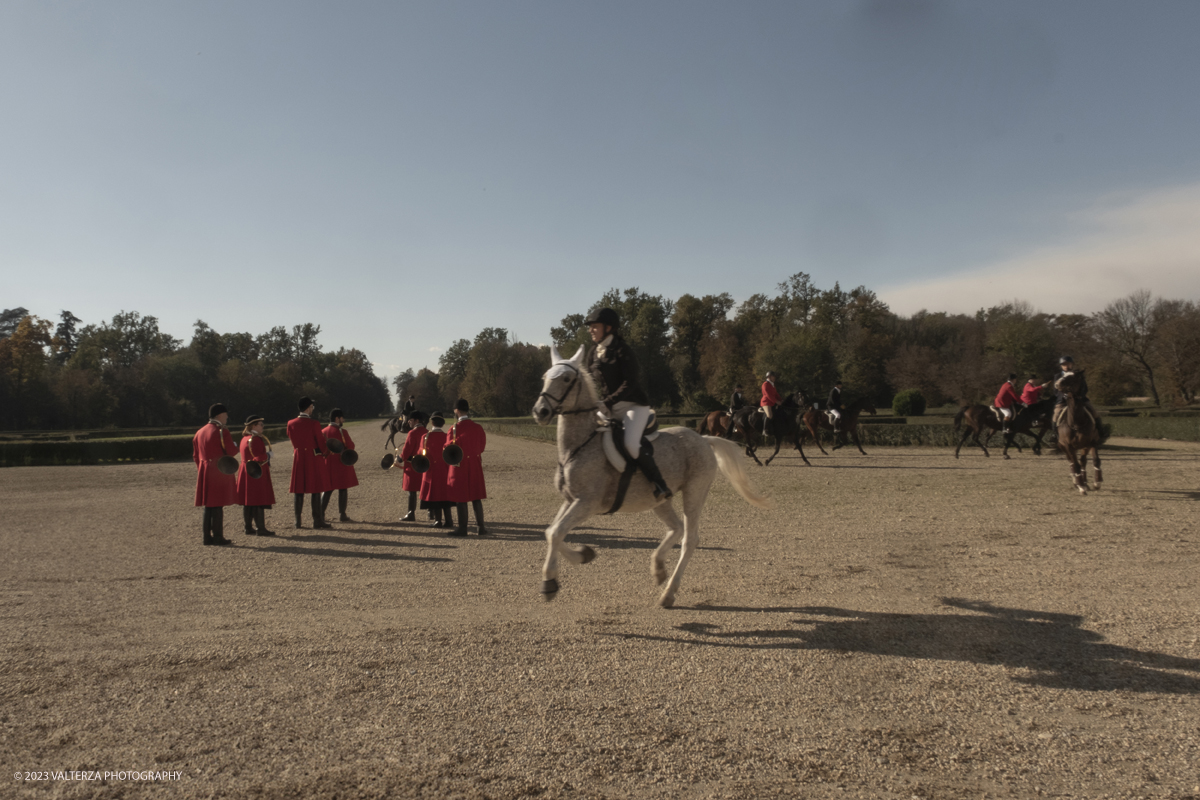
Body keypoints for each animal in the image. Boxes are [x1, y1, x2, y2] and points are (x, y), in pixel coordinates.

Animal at [532, 343, 772, 606]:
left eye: (566, 378)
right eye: (544, 378)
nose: (540, 411)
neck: (579, 446)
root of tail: (704, 439)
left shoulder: (586, 503)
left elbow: (556, 532)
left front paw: (550, 582)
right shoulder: (570, 500)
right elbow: (551, 532)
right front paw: (582, 556)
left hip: (694, 492)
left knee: (689, 539)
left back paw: (668, 592)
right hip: (659, 499)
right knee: (676, 528)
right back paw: (658, 569)